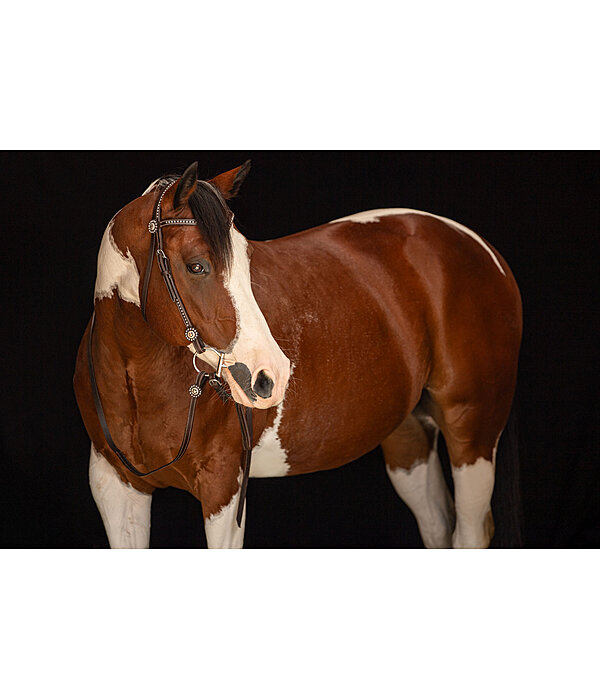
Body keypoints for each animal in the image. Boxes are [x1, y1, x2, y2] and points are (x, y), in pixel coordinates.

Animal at [75, 161, 524, 548]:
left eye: (247, 263)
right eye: (196, 266)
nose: (268, 376)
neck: (139, 374)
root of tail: (481, 248)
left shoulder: (224, 488)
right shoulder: (115, 487)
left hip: (473, 433)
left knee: (469, 533)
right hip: (409, 439)